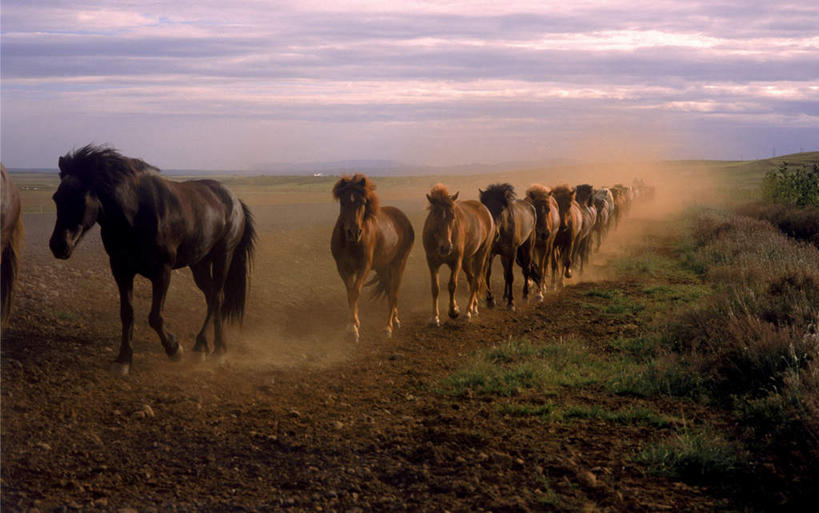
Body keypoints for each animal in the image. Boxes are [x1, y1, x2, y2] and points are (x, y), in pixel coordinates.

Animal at [49, 145, 256, 375]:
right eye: (56, 197)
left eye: (82, 198)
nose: (58, 245)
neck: (136, 214)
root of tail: (235, 200)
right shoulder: (121, 270)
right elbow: (127, 314)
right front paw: (123, 359)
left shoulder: (162, 272)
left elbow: (155, 316)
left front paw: (174, 349)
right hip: (199, 264)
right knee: (212, 296)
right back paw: (214, 348)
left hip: (223, 257)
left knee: (217, 298)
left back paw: (205, 348)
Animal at [331, 174, 414, 342]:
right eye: (343, 201)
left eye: (363, 202)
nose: (353, 233)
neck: (350, 244)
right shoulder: (343, 268)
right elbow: (350, 292)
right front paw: (353, 323)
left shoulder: (364, 267)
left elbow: (356, 291)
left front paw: (354, 329)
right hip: (383, 267)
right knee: (389, 290)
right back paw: (395, 319)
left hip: (399, 264)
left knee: (394, 292)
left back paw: (388, 327)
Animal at [423, 184, 494, 326]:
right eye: (435, 216)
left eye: (452, 217)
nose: (446, 247)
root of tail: (485, 211)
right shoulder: (432, 262)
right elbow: (435, 288)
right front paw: (435, 317)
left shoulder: (456, 261)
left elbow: (452, 285)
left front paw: (453, 311)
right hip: (466, 260)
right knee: (471, 279)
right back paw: (474, 308)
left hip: (481, 255)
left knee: (476, 281)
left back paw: (468, 313)